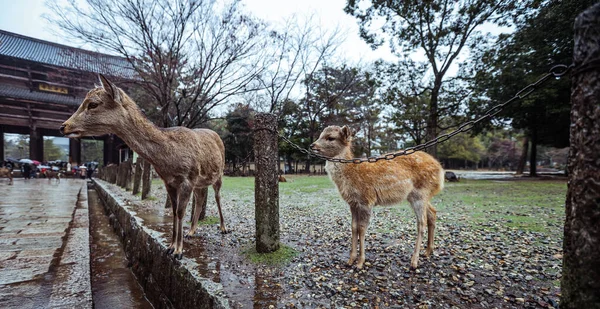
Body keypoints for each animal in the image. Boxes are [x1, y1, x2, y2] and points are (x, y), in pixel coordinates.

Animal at [61, 74, 226, 258]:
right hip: (200, 182)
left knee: (218, 196)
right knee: (201, 198)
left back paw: (223, 228)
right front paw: (170, 247)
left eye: (93, 104)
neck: (169, 157)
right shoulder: (169, 182)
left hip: (219, 173)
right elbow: (174, 211)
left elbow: (180, 212)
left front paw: (178, 251)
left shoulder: (187, 178)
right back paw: (191, 231)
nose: (63, 126)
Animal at [312, 124, 442, 268]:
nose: (312, 145)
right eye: (320, 135)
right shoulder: (353, 203)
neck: (351, 174)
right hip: (418, 195)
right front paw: (350, 260)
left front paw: (360, 262)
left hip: (420, 193)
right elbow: (353, 227)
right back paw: (427, 251)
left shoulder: (366, 200)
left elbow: (362, 229)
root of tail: (440, 171)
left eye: (330, 138)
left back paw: (414, 261)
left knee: (421, 223)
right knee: (432, 213)